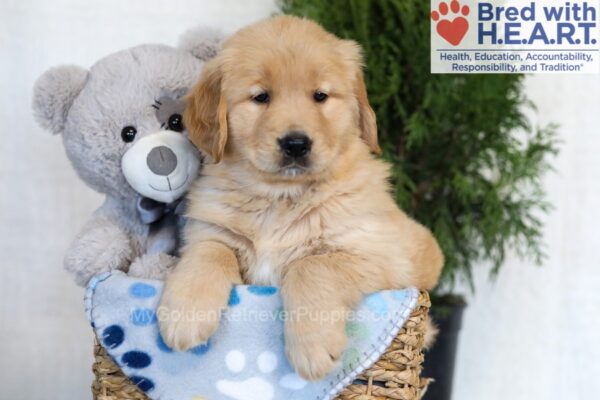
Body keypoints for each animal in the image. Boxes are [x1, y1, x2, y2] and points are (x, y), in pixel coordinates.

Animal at [157, 14, 442, 378]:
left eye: (320, 96)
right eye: (261, 97)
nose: (295, 144)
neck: (279, 197)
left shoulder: (380, 257)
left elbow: (310, 265)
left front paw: (313, 346)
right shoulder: (210, 231)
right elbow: (210, 252)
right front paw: (185, 315)